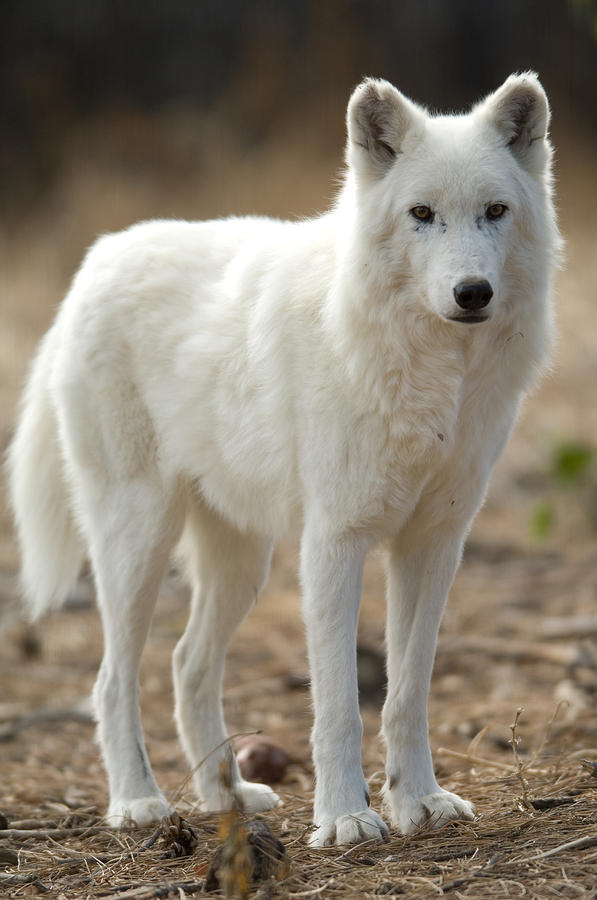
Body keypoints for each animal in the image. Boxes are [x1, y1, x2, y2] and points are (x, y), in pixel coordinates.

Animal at [8, 72, 560, 844]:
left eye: (495, 211)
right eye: (421, 214)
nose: (471, 293)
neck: (433, 378)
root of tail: (96, 261)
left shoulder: (433, 545)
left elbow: (407, 694)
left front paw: (418, 802)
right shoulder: (334, 543)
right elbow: (336, 704)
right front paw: (346, 818)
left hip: (242, 562)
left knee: (186, 664)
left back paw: (227, 795)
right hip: (136, 545)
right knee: (112, 680)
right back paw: (139, 803)